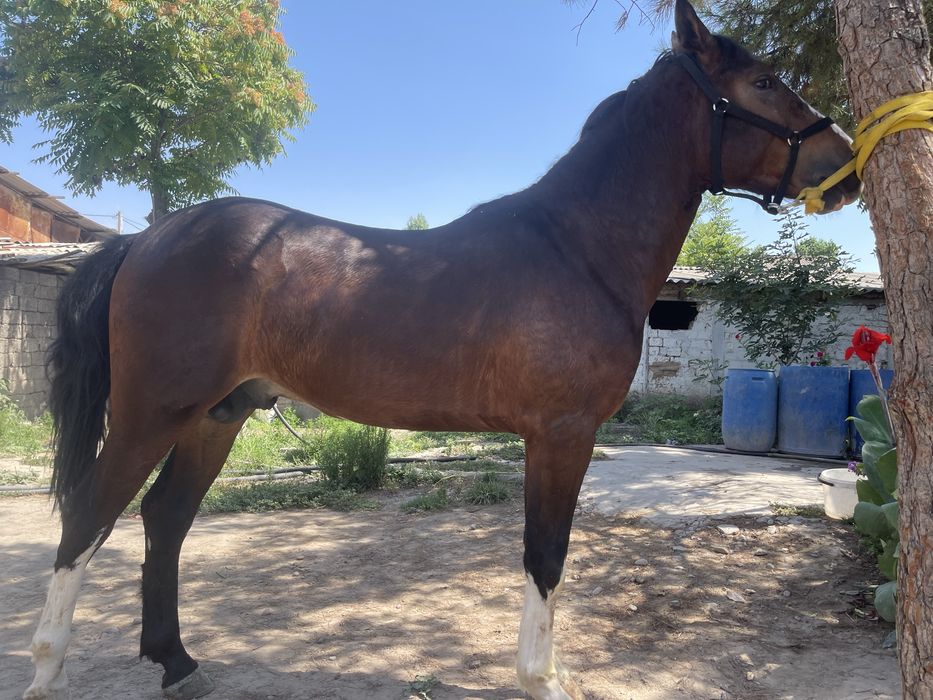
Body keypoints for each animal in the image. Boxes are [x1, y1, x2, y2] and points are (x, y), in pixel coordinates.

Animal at [24, 2, 860, 698]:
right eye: (762, 82)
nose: (846, 163)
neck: (577, 248)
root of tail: (145, 240)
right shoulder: (561, 435)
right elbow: (545, 554)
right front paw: (540, 679)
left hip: (216, 416)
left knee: (163, 517)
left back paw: (176, 661)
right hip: (152, 413)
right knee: (88, 517)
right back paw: (48, 668)